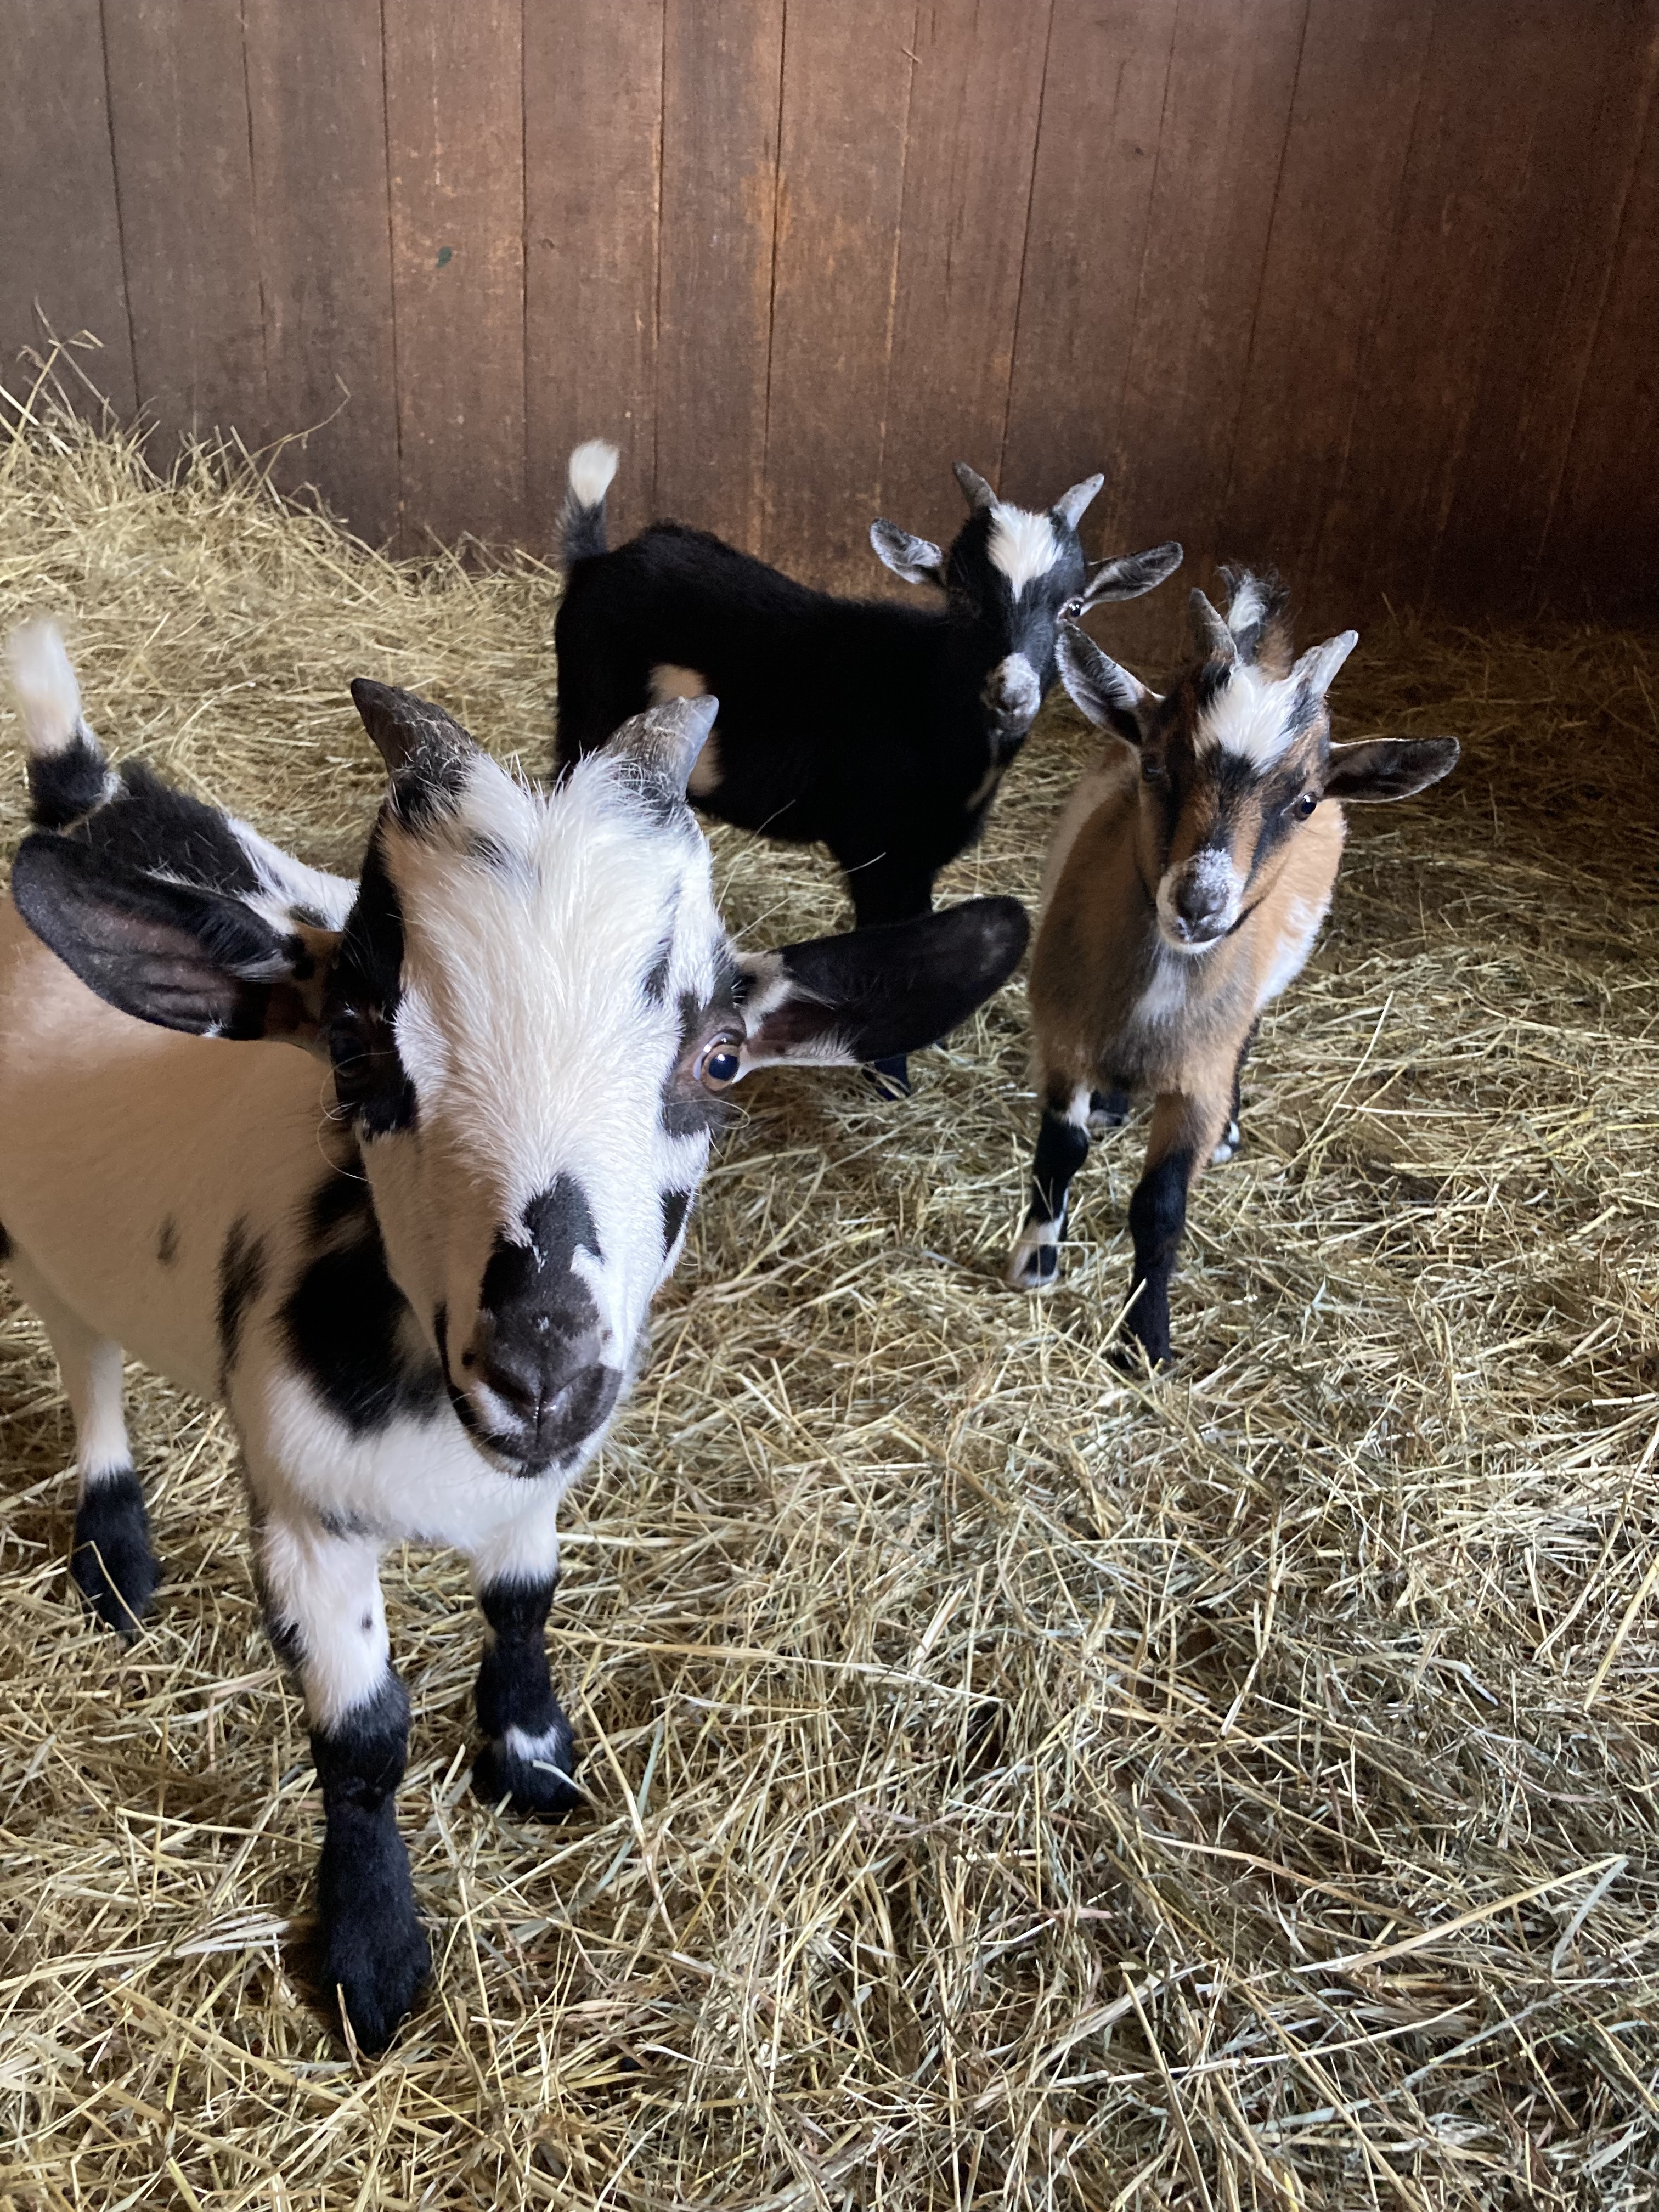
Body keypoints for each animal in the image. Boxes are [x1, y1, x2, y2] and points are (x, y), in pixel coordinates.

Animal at [0, 628, 1035, 2052]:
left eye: (721, 1059)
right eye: (355, 1042)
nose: (540, 1366)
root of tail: (83, 800)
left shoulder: (535, 1484)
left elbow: (525, 1598)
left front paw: (531, 1754)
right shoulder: (306, 1514)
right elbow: (363, 1737)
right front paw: (373, 1955)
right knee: (84, 1352)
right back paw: (113, 1546)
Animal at [555, 440, 1186, 1088]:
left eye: (1074, 608)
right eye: (963, 597)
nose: (1011, 694)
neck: (926, 701)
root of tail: (597, 559)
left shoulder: (922, 858)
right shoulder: (876, 851)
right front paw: (891, 1074)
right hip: (586, 719)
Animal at [1008, 571, 1460, 1362]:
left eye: (1305, 801)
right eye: (1155, 764)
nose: (1199, 904)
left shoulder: (1200, 1079)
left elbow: (1160, 1206)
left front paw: (1146, 1340)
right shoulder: (1063, 1039)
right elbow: (1060, 1150)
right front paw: (1037, 1262)